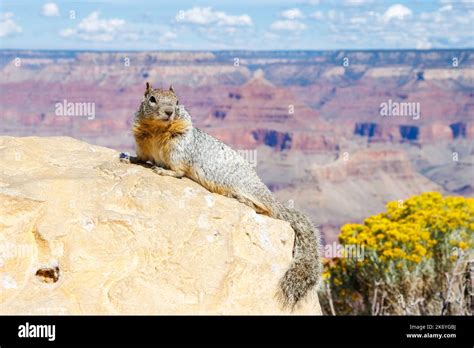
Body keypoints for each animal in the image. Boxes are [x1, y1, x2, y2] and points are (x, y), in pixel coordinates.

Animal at [120, 82, 324, 310]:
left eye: (177, 101)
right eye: (152, 99)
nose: (169, 112)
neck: (158, 129)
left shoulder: (179, 147)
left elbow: (178, 169)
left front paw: (165, 172)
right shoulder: (142, 142)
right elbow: (141, 157)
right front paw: (128, 157)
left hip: (246, 187)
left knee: (267, 209)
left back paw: (243, 200)